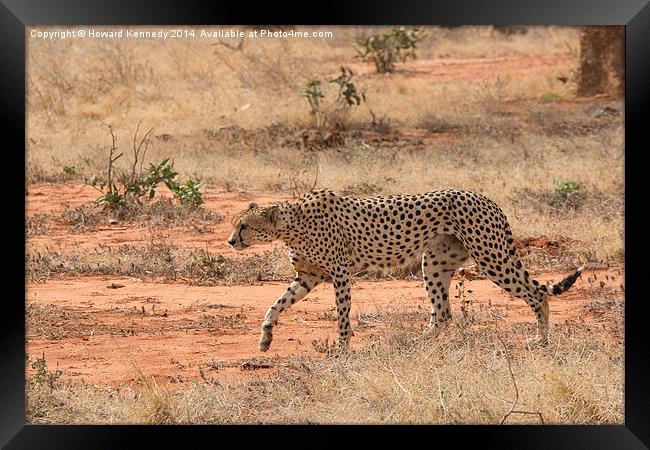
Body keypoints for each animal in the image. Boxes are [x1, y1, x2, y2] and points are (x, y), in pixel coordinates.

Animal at [227, 188, 584, 354]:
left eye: (244, 227)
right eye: (234, 225)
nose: (230, 241)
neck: (290, 224)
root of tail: (485, 198)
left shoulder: (340, 273)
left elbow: (342, 315)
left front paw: (342, 349)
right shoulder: (308, 277)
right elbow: (275, 304)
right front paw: (265, 339)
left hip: (491, 256)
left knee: (536, 293)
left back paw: (541, 340)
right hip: (435, 263)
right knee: (444, 313)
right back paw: (417, 341)